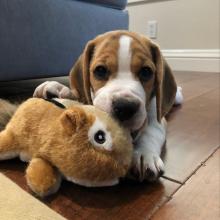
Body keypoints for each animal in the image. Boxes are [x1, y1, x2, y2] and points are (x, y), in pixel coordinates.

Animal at [34, 31, 182, 182]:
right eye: (100, 70)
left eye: (146, 72)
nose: (125, 107)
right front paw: (57, 88)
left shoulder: (156, 117)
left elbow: (150, 132)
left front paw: (143, 154)